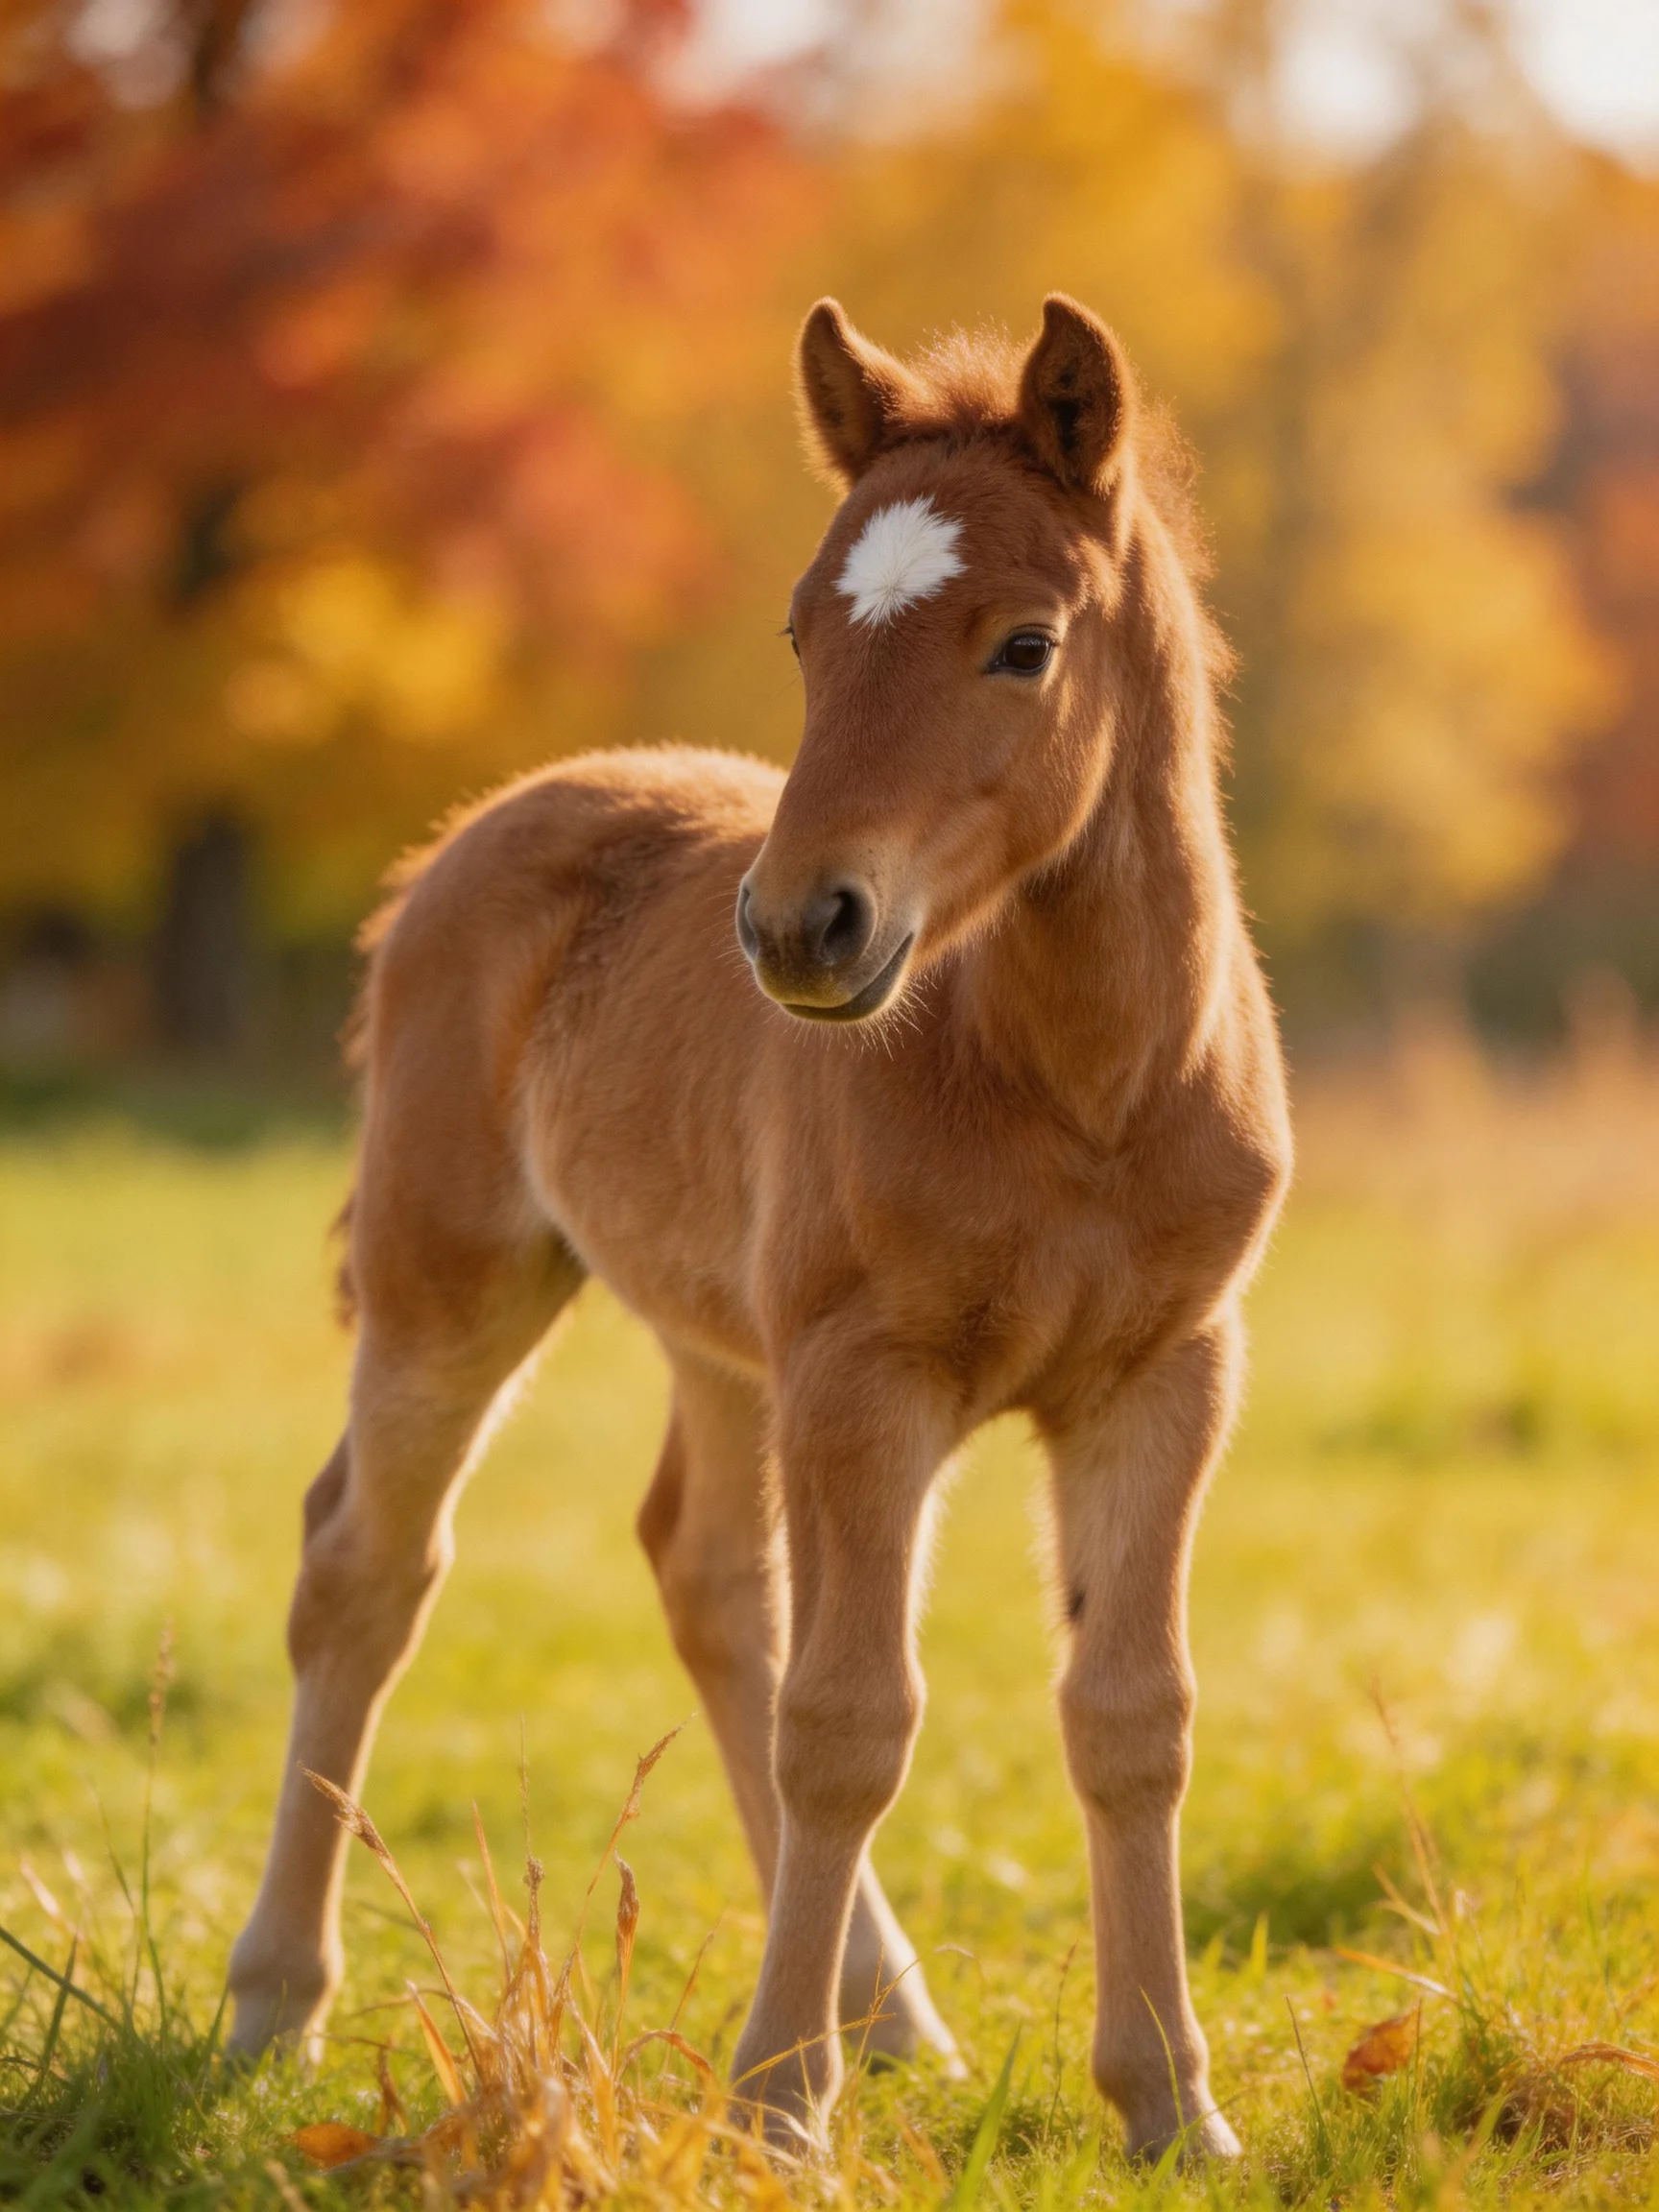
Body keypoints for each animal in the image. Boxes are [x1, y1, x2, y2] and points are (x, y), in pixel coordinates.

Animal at [226, 293, 1291, 2163]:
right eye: (802, 629)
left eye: (1025, 643)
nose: (803, 926)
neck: (1080, 1081)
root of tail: (473, 833)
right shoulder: (866, 1373)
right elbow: (848, 1719)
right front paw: (780, 2108)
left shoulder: (1164, 1374)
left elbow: (1131, 1714)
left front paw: (1171, 2102)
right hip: (458, 1282)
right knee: (365, 1567)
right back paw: (274, 2004)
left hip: (726, 1339)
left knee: (708, 1574)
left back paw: (896, 2015)